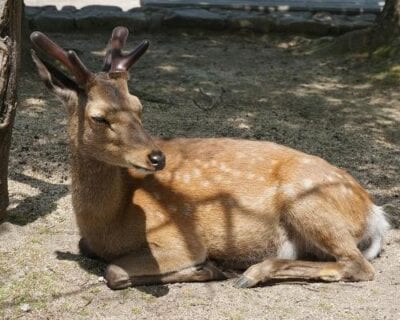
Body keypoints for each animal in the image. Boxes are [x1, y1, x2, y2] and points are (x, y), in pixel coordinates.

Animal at [29, 26, 390, 288]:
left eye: (139, 106)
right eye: (99, 117)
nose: (156, 157)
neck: (106, 225)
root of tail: (375, 214)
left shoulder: (180, 239)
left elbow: (115, 272)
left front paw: (209, 268)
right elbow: (87, 250)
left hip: (309, 202)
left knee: (358, 265)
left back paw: (252, 273)